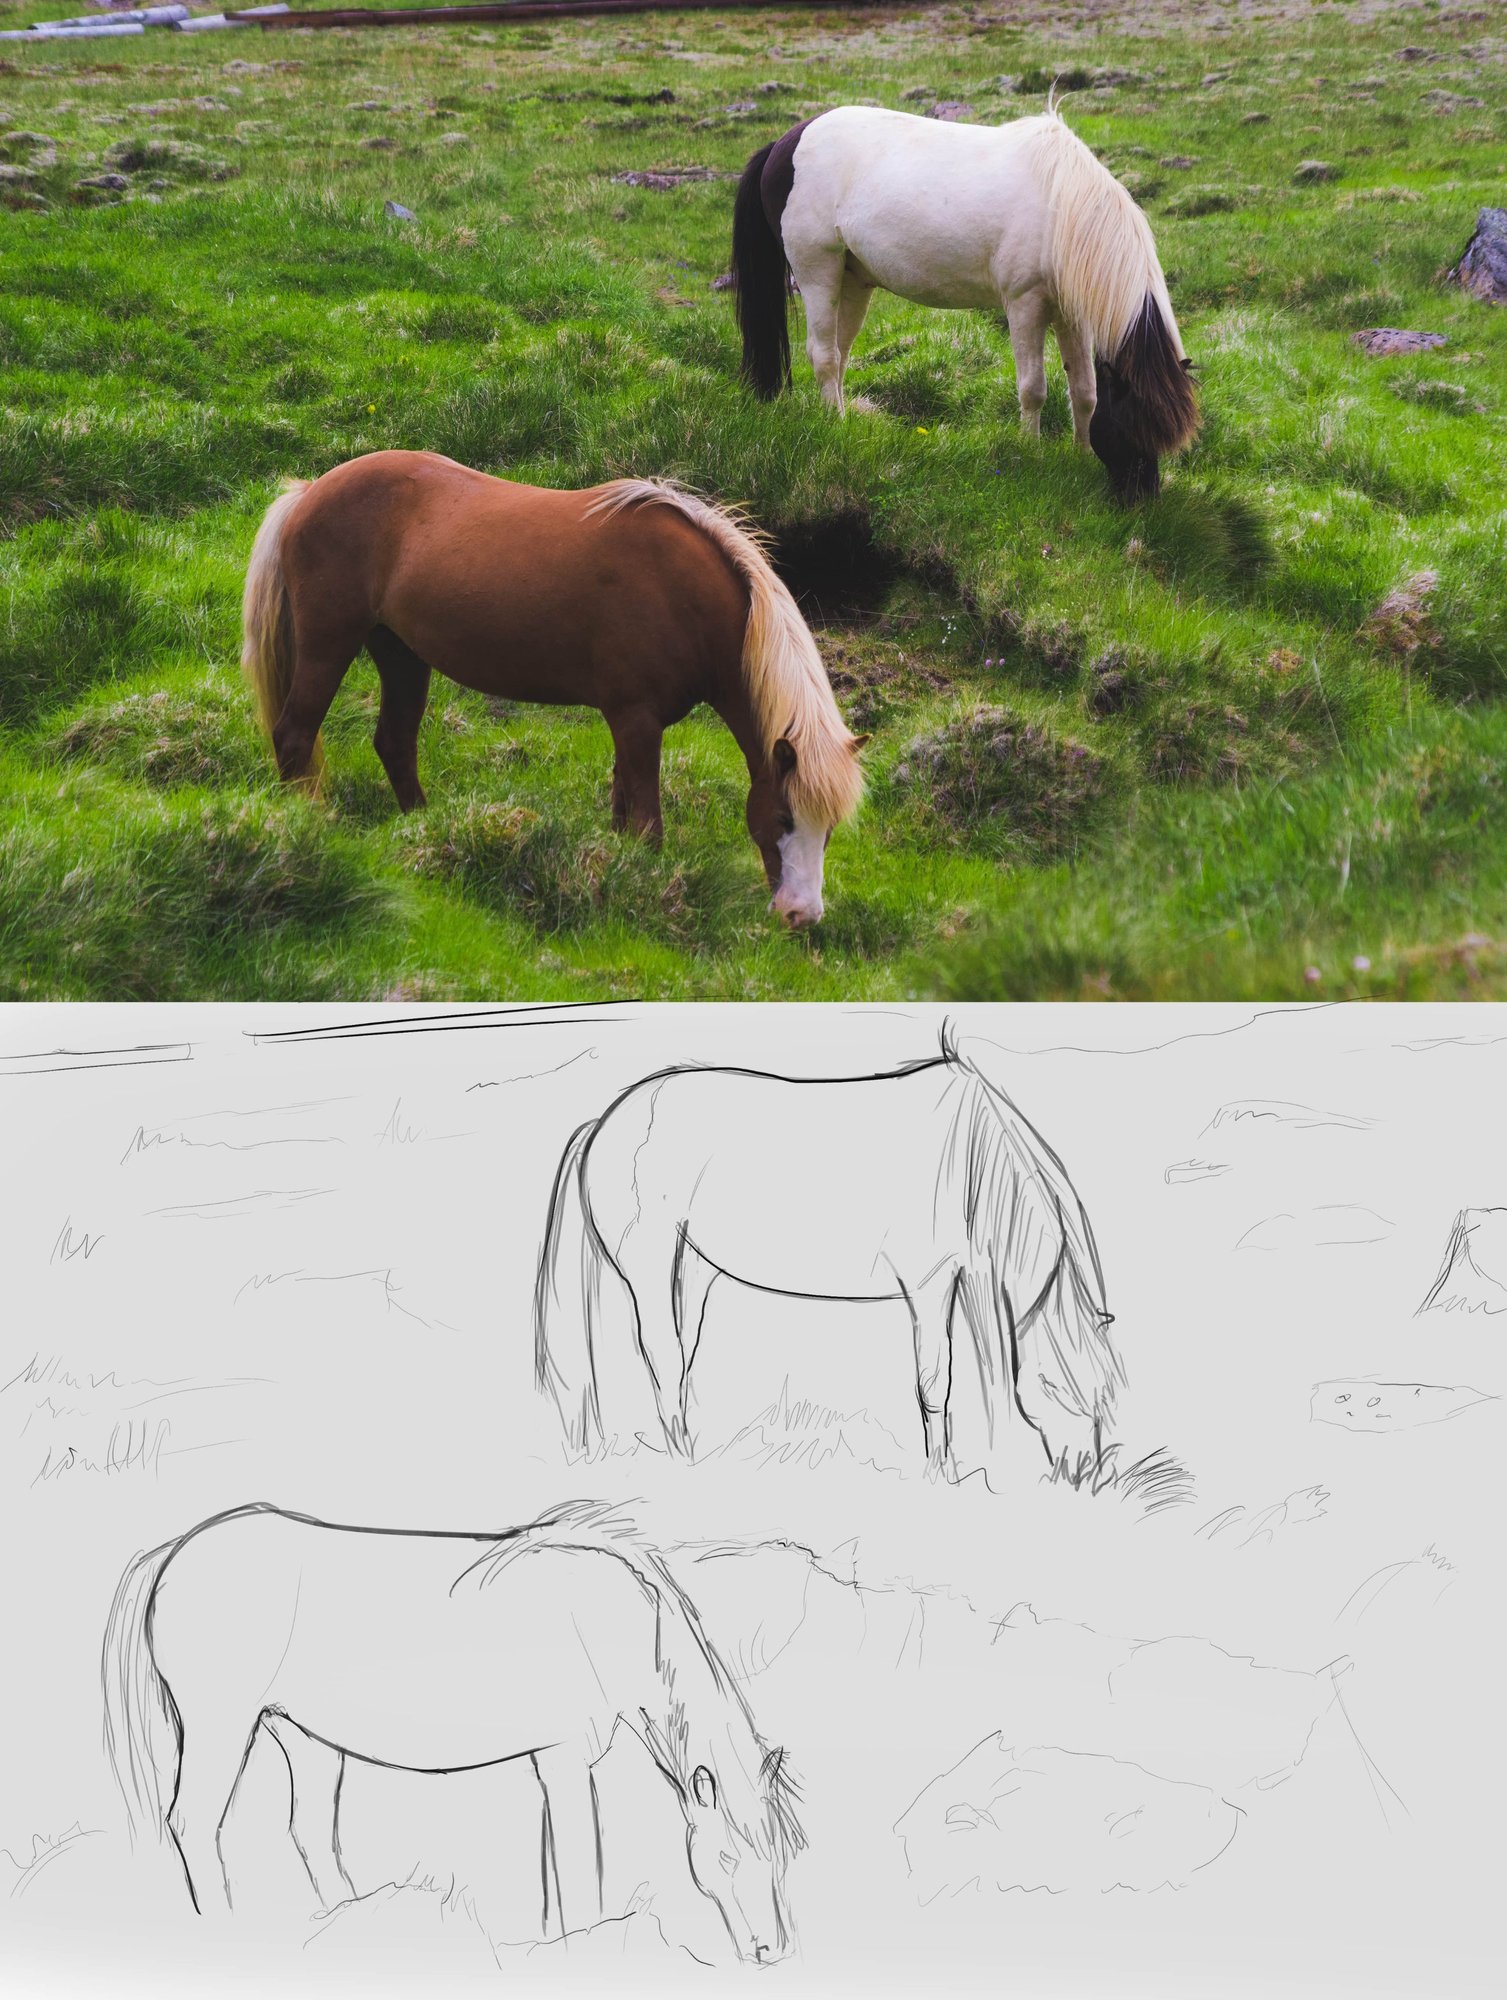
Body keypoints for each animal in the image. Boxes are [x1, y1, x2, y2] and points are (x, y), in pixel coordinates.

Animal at [101, 1498, 804, 1962]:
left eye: (779, 1853)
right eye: (727, 1857)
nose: (771, 1952)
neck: (616, 1625)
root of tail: (176, 1551)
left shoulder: (550, 1765)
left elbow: (556, 1878)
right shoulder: (566, 1760)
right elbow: (582, 1877)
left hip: (303, 1736)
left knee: (311, 1833)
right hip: (221, 1728)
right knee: (194, 1822)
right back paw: (224, 1934)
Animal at [241, 452, 867, 928]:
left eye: (830, 828)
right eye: (783, 818)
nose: (802, 916)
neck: (683, 593)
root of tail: (310, 492)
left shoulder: (628, 724)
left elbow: (622, 808)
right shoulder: (636, 719)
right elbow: (647, 824)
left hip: (401, 655)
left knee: (394, 743)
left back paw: (423, 827)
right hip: (329, 643)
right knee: (295, 734)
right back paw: (309, 827)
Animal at [534, 1024, 1125, 1484]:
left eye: (1107, 1391)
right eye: (1055, 1384)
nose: (1083, 1473)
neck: (967, 1160)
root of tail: (601, 1122)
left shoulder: (961, 1281)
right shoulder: (930, 1284)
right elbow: (937, 1382)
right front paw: (941, 1476)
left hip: (694, 1269)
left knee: (678, 1360)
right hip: (650, 1267)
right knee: (662, 1354)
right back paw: (685, 1462)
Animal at [731, 101, 1199, 502]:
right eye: (1133, 425)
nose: (1142, 500)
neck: (1062, 208)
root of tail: (785, 143)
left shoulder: (1072, 317)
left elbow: (1084, 391)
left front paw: (1081, 455)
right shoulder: (1025, 305)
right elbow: (1033, 389)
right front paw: (1032, 454)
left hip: (853, 281)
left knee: (839, 354)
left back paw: (839, 421)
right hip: (818, 271)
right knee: (824, 355)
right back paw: (836, 424)